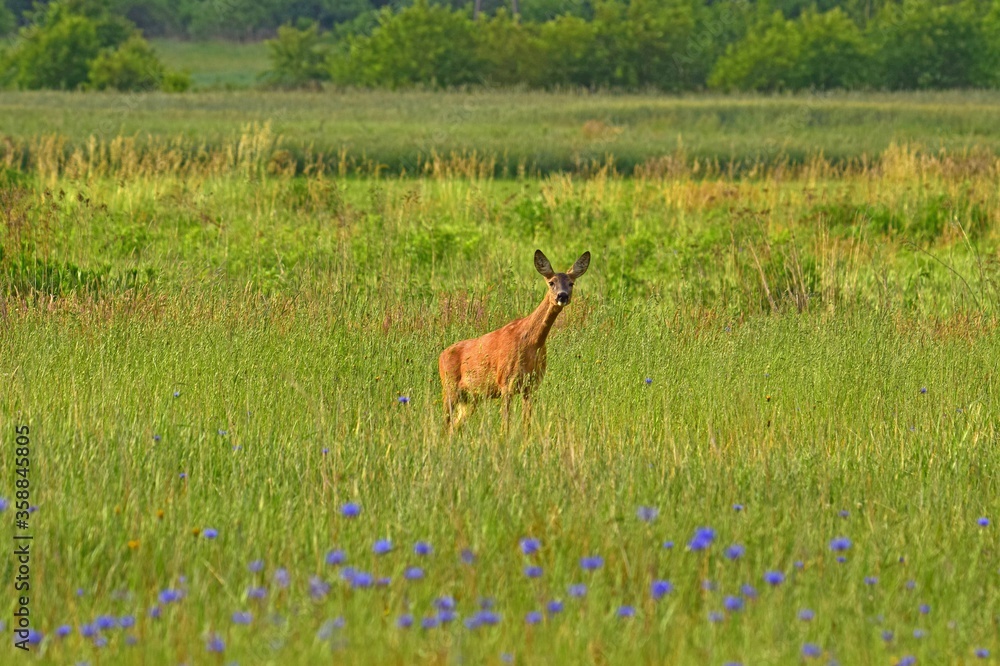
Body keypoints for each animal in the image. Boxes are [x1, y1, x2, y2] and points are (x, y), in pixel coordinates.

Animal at [436, 249, 584, 430]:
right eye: (551, 282)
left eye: (571, 283)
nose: (562, 296)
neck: (532, 343)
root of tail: (441, 355)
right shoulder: (506, 382)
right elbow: (505, 425)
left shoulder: (532, 385)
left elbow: (527, 423)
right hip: (449, 388)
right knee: (445, 424)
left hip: (471, 399)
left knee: (454, 427)